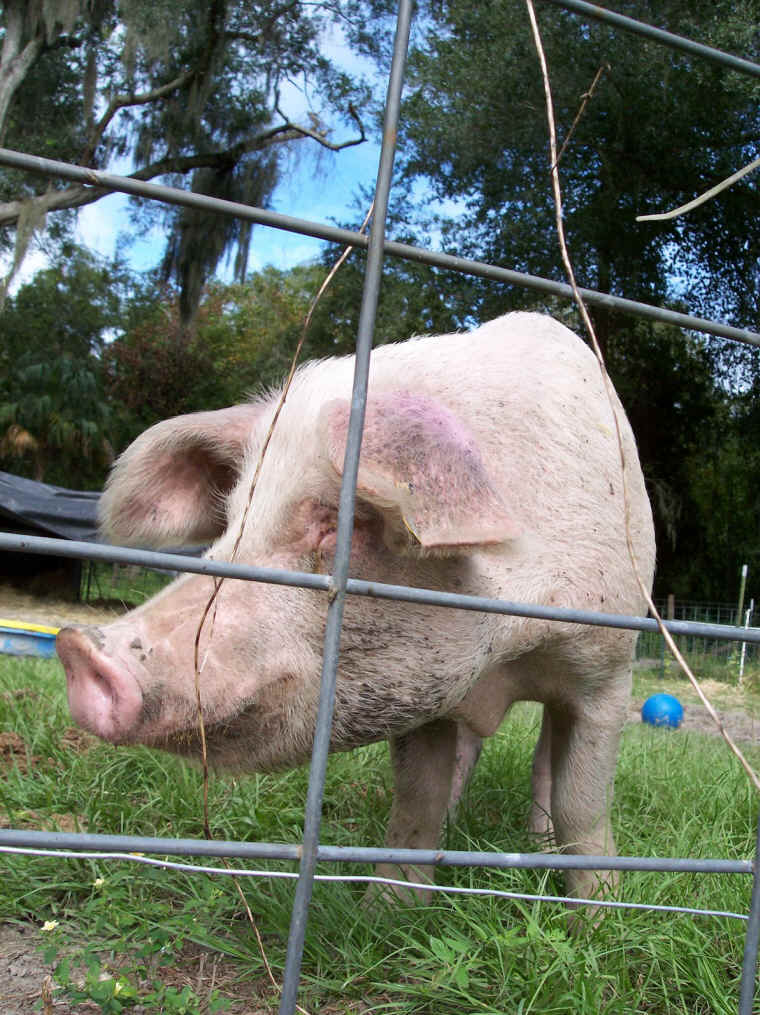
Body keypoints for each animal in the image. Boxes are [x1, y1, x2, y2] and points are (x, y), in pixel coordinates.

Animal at [57, 311, 655, 905]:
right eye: (232, 518)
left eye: (340, 523)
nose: (80, 649)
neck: (502, 649)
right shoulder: (423, 698)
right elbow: (416, 801)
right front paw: (386, 910)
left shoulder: (606, 671)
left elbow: (582, 806)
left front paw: (597, 911)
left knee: (543, 762)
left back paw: (538, 843)